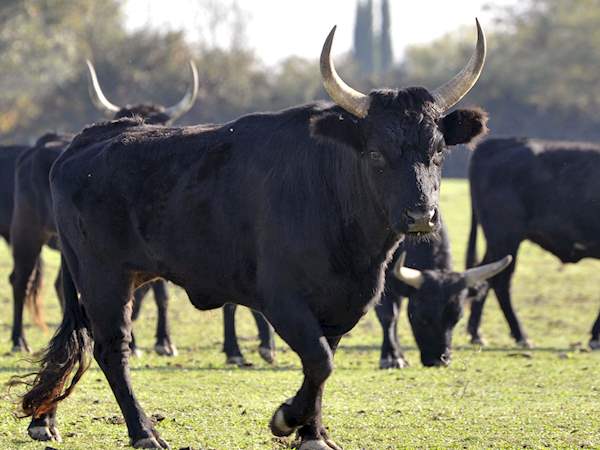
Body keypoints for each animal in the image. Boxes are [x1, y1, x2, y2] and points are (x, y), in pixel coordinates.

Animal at [7, 60, 199, 356]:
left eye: (161, 125)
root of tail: (38, 145)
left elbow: (159, 294)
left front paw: (164, 341)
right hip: (27, 232)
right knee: (21, 280)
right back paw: (18, 340)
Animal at [466, 137, 600, 348]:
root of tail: (494, 143)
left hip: (497, 243)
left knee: (485, 275)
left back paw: (476, 333)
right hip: (505, 238)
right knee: (500, 282)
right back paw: (521, 335)